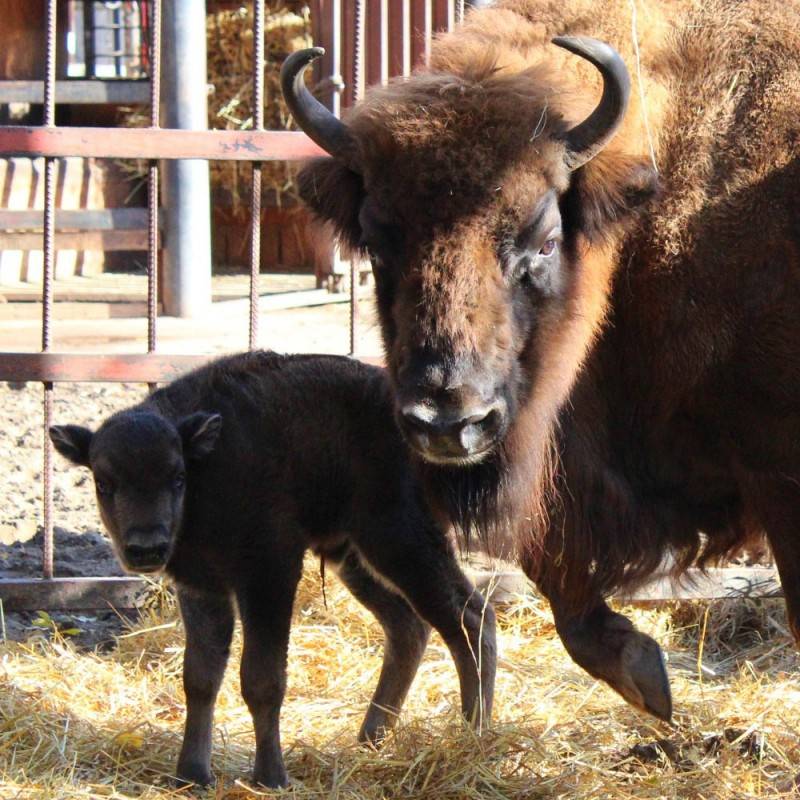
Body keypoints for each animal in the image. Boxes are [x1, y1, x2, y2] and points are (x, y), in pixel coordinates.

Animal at [50, 354, 494, 792]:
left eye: (177, 476)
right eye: (103, 481)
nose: (146, 548)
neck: (207, 467)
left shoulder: (269, 575)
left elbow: (262, 679)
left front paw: (270, 777)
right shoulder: (202, 587)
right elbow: (200, 678)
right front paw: (190, 775)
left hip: (402, 543)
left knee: (470, 618)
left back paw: (474, 734)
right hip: (353, 556)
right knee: (408, 628)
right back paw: (371, 738)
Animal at [284, 0, 800, 720]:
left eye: (545, 240)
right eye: (378, 242)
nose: (449, 423)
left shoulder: (779, 475)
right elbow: (561, 585)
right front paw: (647, 676)